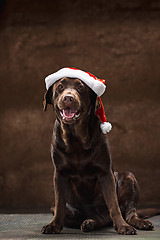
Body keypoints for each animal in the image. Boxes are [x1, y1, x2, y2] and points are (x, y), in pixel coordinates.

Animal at [41, 74, 155, 234]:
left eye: (80, 87)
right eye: (60, 87)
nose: (68, 98)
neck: (76, 138)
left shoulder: (105, 173)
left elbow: (113, 205)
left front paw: (123, 226)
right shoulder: (59, 174)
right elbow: (60, 204)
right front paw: (53, 225)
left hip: (129, 177)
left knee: (128, 212)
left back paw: (138, 222)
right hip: (61, 207)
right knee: (92, 217)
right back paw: (90, 223)